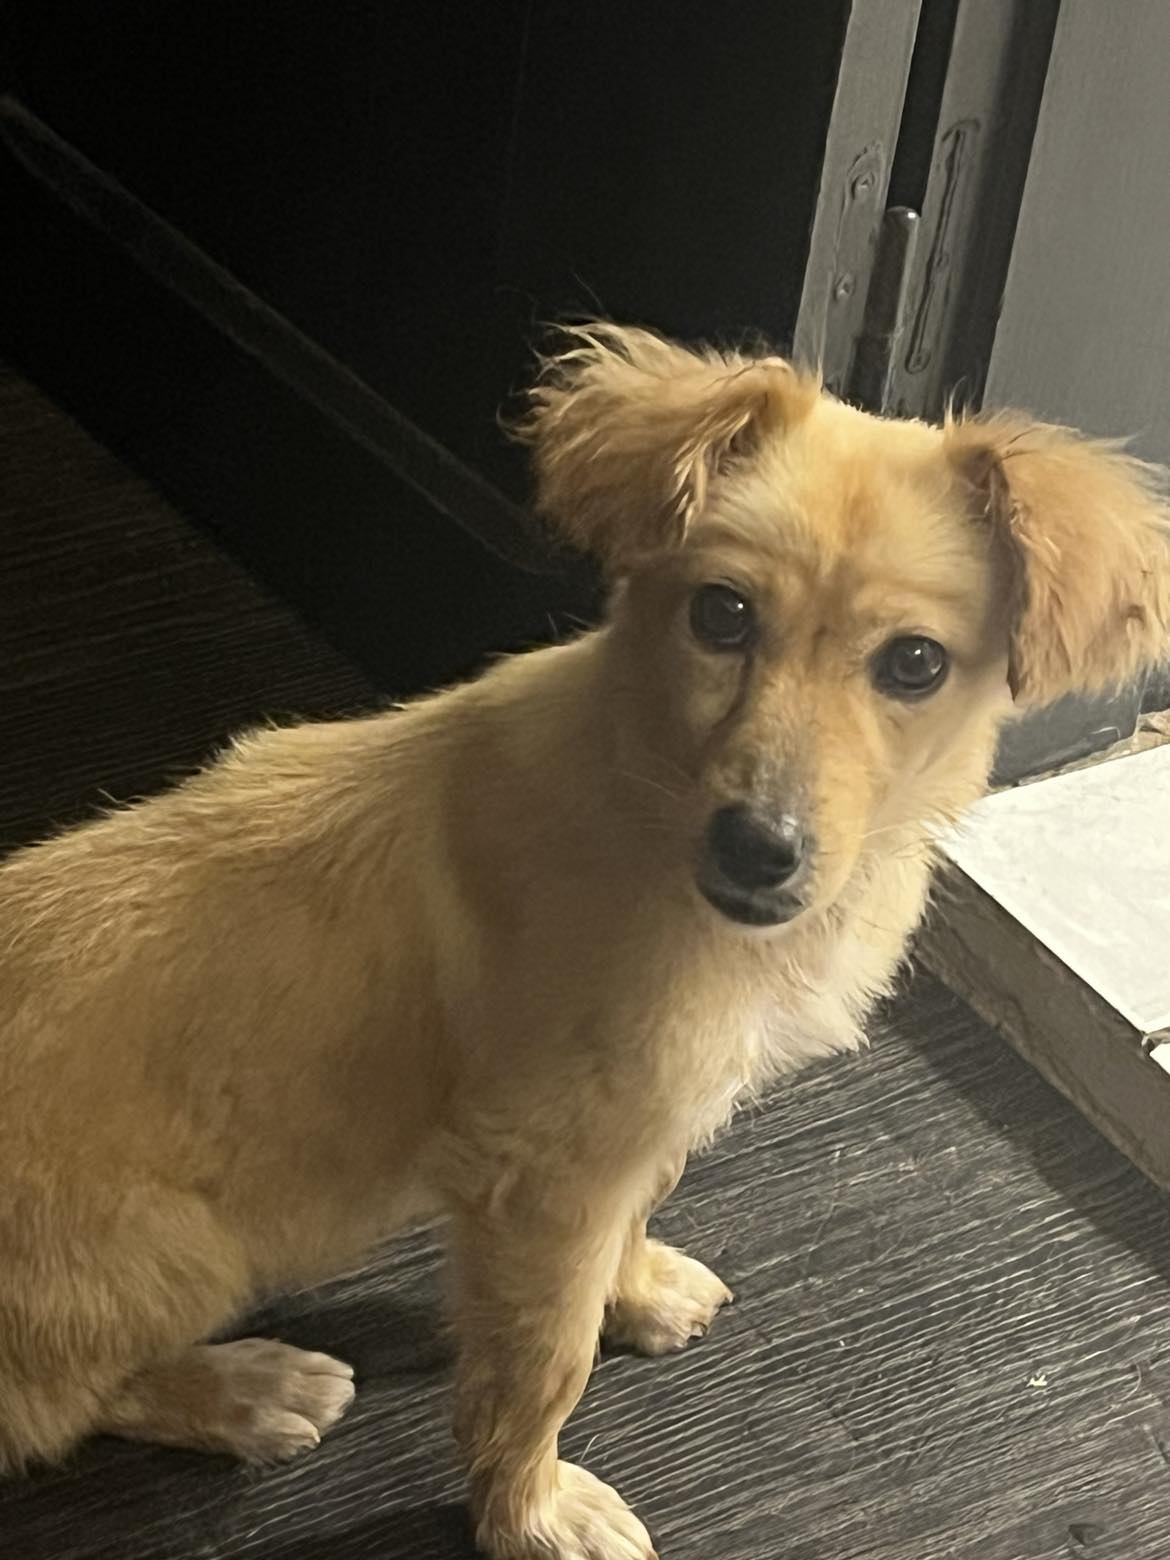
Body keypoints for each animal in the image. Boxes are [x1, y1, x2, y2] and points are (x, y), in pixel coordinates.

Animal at [1, 324, 1167, 1560]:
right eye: (722, 615)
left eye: (915, 664)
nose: (760, 847)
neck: (647, 800)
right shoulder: (542, 1178)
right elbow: (540, 1369)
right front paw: (533, 1514)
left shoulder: (642, 1120)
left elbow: (642, 1204)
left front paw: (638, 1290)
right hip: (183, 1249)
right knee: (45, 1406)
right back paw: (243, 1390)